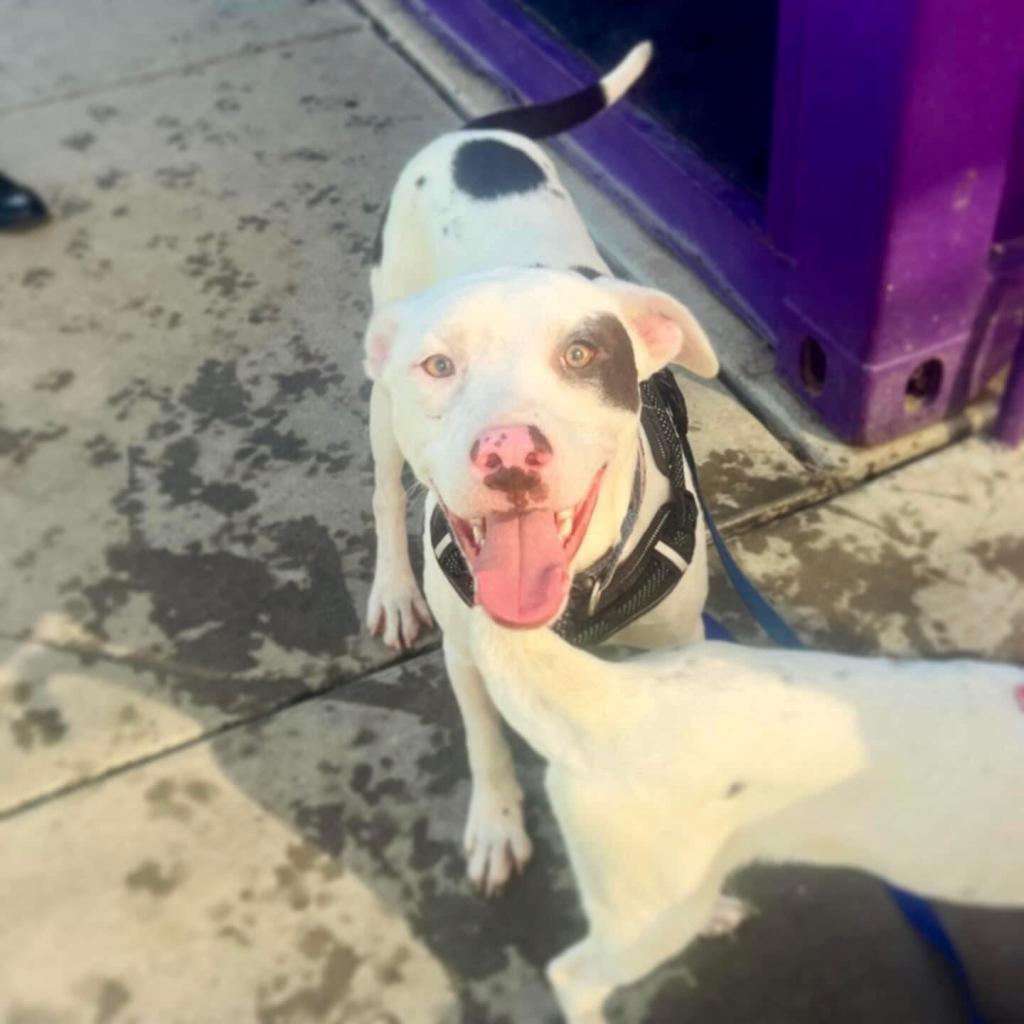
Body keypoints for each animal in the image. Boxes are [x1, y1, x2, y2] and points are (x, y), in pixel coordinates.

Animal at [364, 39, 724, 892]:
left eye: (583, 354)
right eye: (439, 365)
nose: (508, 452)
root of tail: (474, 136)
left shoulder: (678, 645)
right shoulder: (468, 653)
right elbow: (485, 740)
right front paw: (496, 826)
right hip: (380, 401)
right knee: (384, 498)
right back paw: (392, 589)